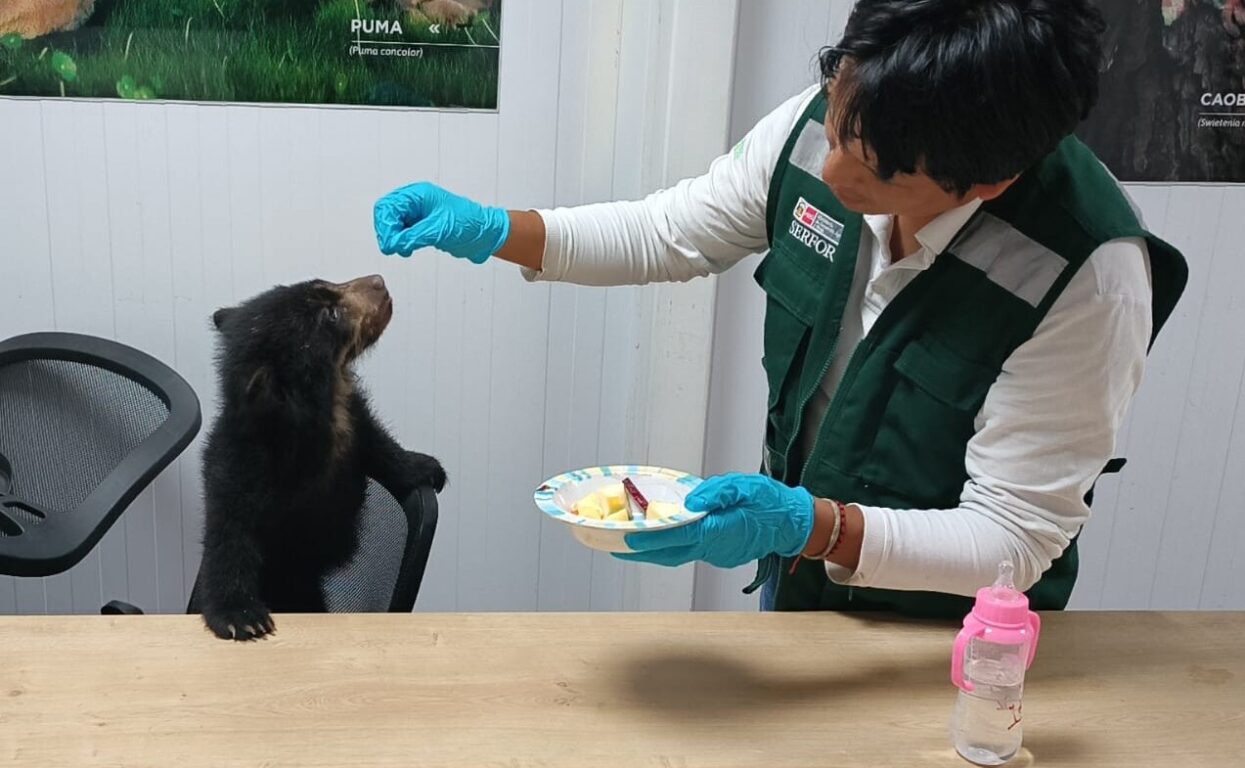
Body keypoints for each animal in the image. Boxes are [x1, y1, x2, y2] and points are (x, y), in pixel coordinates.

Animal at [195, 274, 445, 641]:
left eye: (325, 283)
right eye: (330, 315)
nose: (379, 281)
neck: (326, 405)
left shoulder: (355, 423)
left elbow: (380, 445)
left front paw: (427, 467)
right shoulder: (244, 464)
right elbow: (230, 531)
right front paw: (240, 616)